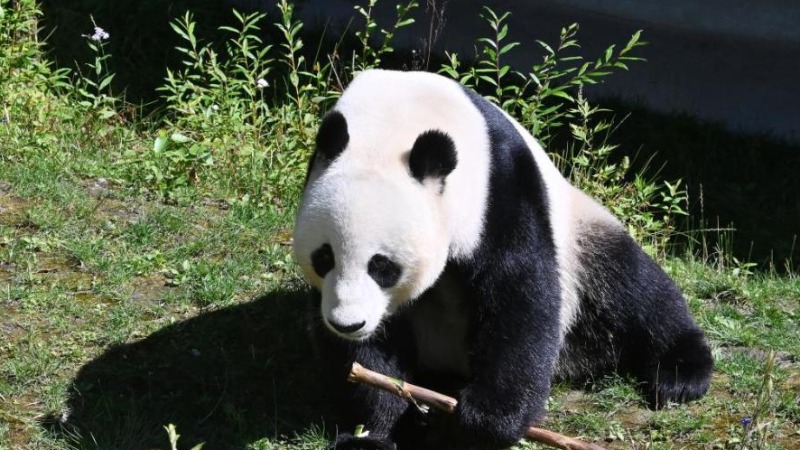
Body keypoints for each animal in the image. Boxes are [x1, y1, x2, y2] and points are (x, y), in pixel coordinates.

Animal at [293, 69, 713, 450]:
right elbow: (361, 360)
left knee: (631, 289)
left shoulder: (499, 187)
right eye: (324, 257)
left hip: (581, 237)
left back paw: (681, 373)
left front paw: (481, 423)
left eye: (382, 266)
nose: (348, 323)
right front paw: (374, 430)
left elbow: (520, 293)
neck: (394, 119)